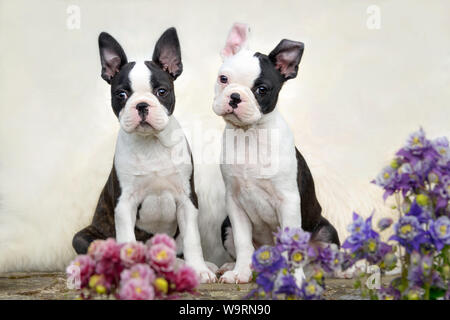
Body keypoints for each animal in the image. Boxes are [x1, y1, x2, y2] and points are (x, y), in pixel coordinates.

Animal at [72, 27, 216, 282]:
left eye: (161, 91)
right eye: (121, 94)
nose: (141, 105)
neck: (152, 143)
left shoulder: (187, 200)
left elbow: (193, 240)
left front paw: (199, 270)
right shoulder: (124, 204)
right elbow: (128, 242)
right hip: (82, 237)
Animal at [214, 23, 338, 284]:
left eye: (262, 89)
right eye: (223, 79)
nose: (235, 96)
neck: (250, 135)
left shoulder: (288, 201)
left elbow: (292, 248)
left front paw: (294, 280)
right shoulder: (234, 204)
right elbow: (243, 242)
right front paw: (240, 272)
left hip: (326, 231)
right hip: (225, 225)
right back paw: (231, 266)